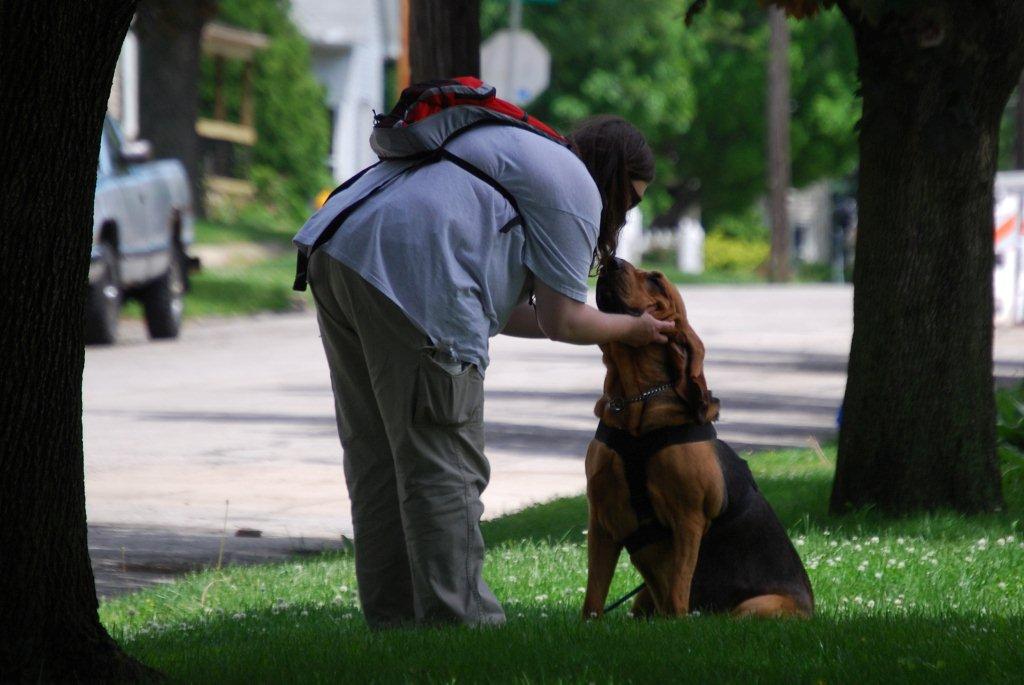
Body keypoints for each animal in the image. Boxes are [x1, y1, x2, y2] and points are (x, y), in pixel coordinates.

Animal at [585, 255, 815, 618]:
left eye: (655, 280)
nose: (611, 261)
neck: (637, 405)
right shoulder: (601, 520)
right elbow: (593, 599)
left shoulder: (687, 519)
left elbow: (678, 593)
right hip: (641, 599)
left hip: (754, 607)